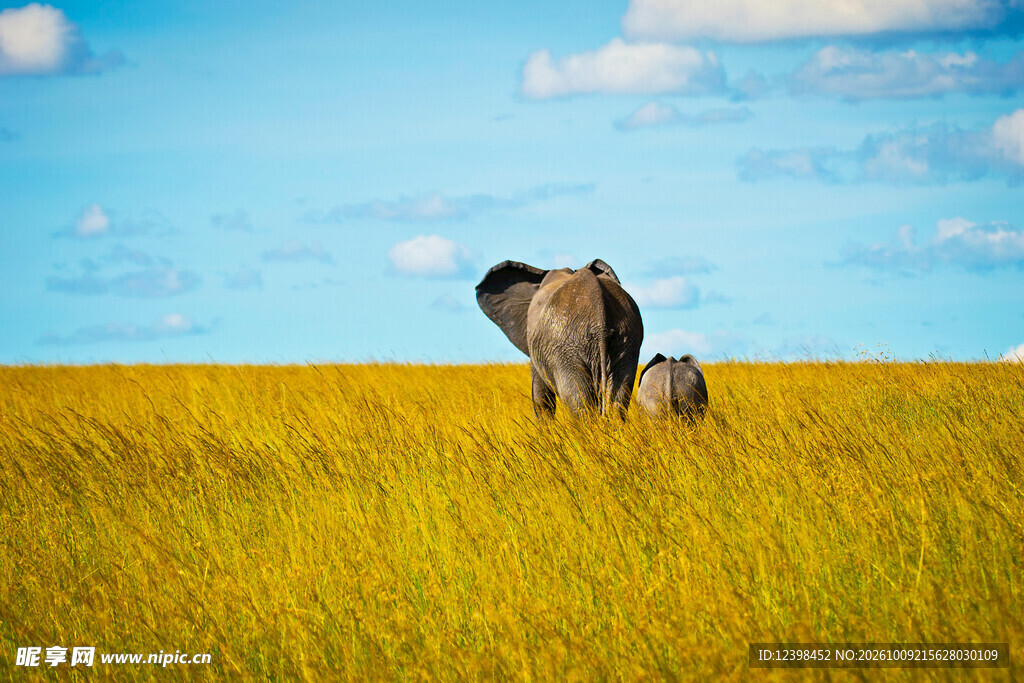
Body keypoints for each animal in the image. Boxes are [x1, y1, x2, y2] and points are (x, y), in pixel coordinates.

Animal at [476, 259, 643, 418]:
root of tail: (599, 321)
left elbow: (541, 398)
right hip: (626, 342)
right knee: (618, 398)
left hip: (564, 351)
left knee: (579, 401)